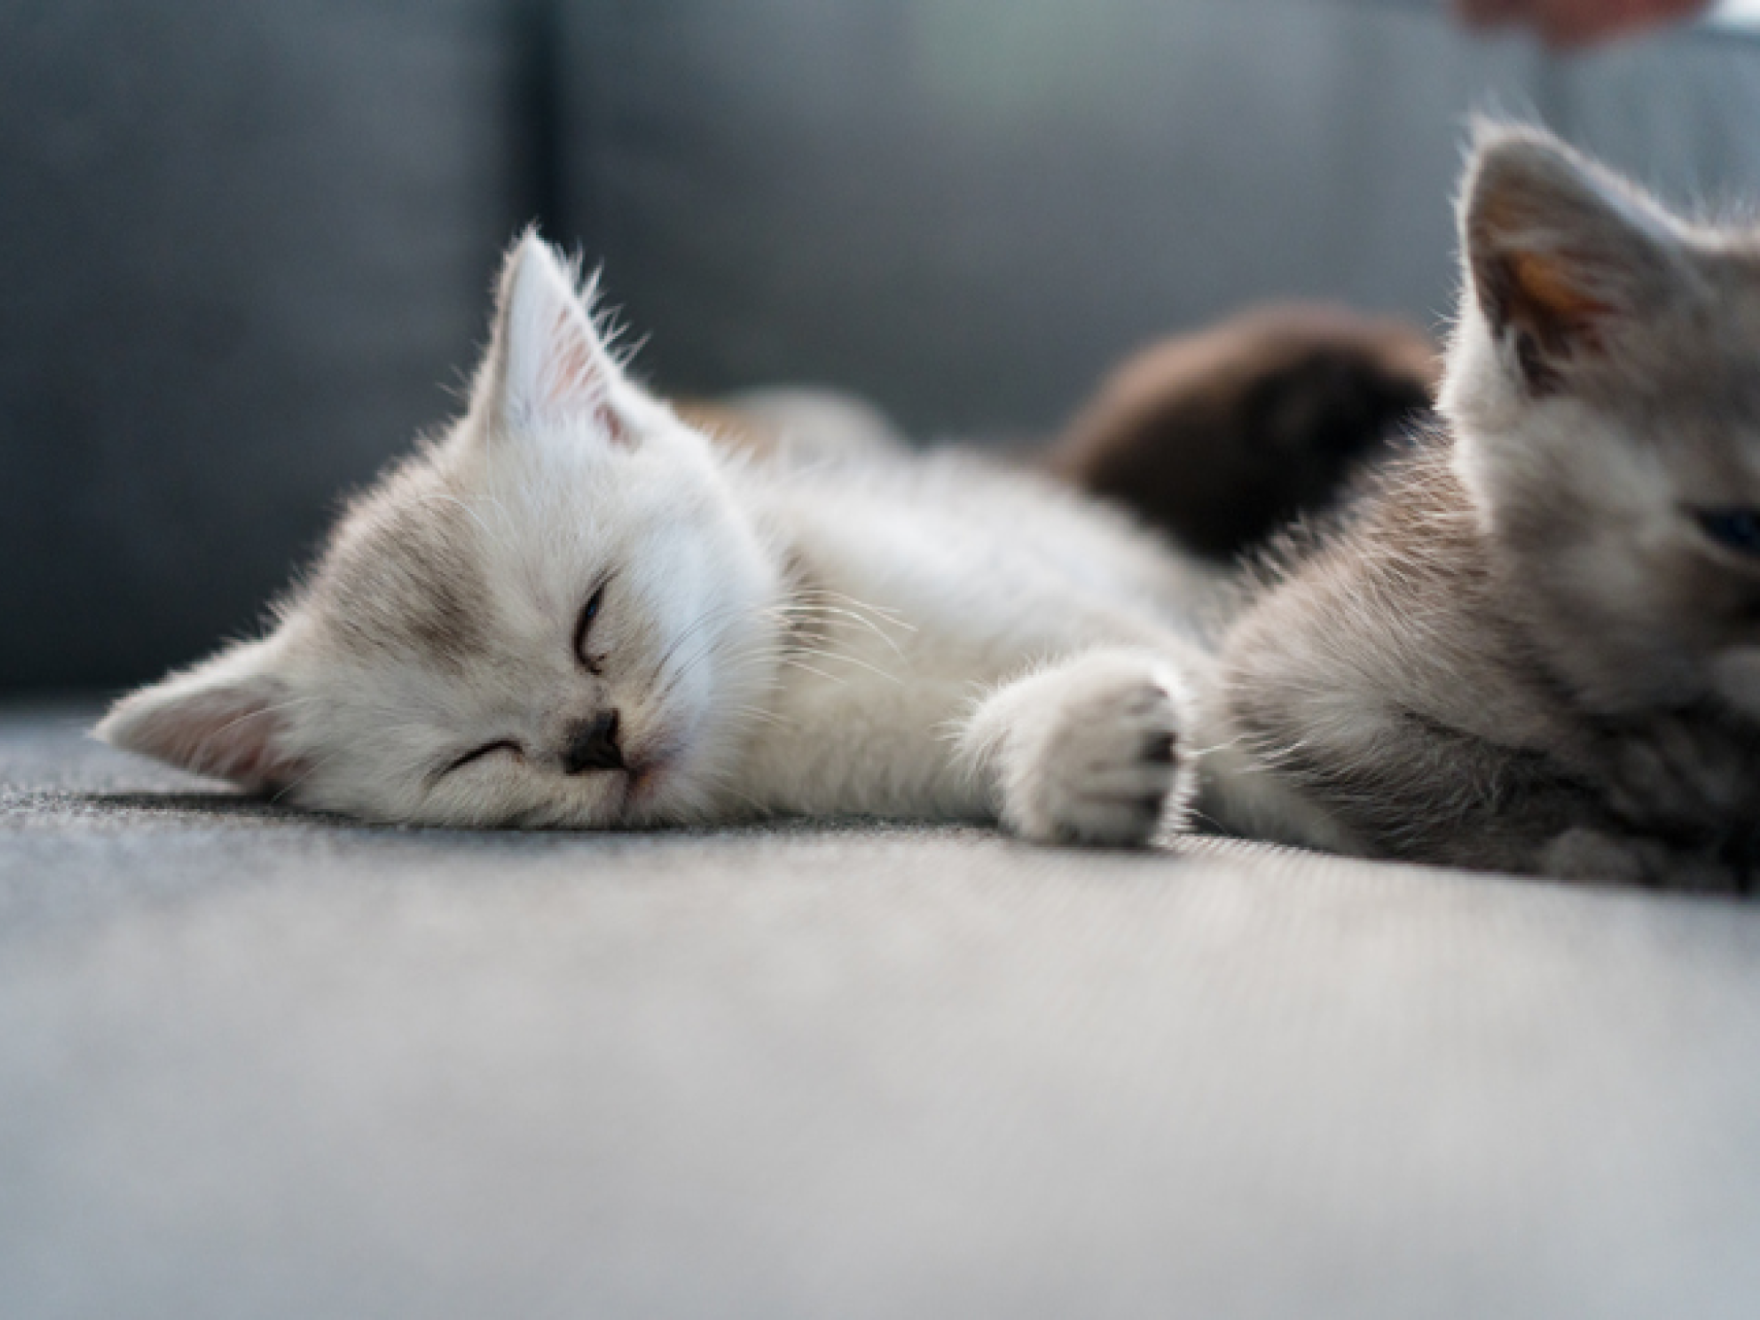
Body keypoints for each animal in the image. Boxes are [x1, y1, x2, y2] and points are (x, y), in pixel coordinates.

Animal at [99, 230, 1224, 841]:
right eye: (476, 757)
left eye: (592, 618)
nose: (592, 740)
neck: (804, 678)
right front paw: (1077, 750)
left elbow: (1212, 693)